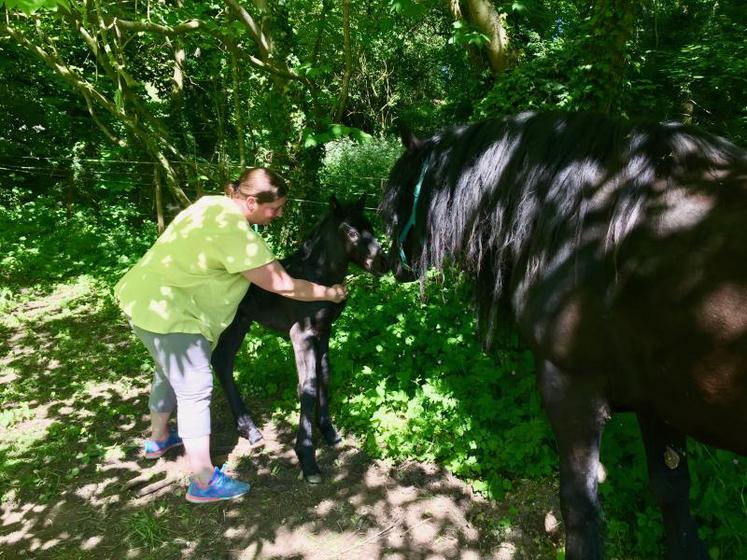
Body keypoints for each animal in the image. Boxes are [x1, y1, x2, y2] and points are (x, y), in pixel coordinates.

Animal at [211, 196, 387, 483]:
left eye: (370, 227)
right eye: (351, 232)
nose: (383, 263)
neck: (316, 278)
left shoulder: (324, 330)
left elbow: (324, 374)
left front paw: (329, 431)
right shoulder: (301, 335)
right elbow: (308, 386)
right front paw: (307, 458)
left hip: (241, 322)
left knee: (222, 361)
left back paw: (250, 430)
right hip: (228, 323)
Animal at [379, 111, 747, 559]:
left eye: (399, 198)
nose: (388, 263)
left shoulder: (572, 391)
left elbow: (579, 506)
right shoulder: (658, 403)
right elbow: (672, 491)